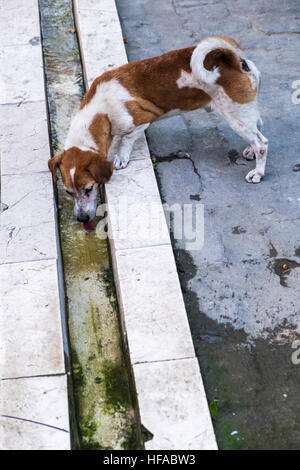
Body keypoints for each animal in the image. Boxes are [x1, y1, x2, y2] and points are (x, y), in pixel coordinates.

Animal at [48, 36, 268, 224]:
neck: (101, 109)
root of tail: (236, 61)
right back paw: (250, 152)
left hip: (236, 116)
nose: (82, 219)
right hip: (244, 114)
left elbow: (126, 140)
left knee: (262, 143)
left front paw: (121, 157)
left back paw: (258, 172)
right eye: (68, 192)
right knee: (258, 128)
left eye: (89, 189)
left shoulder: (142, 121)